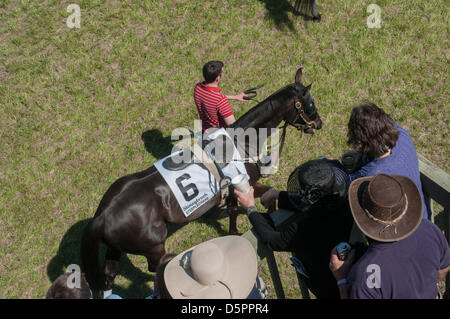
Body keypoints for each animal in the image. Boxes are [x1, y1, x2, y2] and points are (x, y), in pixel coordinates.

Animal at [80, 67, 320, 296]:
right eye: (309, 104)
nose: (319, 123)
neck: (240, 141)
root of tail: (102, 215)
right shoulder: (247, 183)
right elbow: (267, 196)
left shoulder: (230, 190)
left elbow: (233, 212)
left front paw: (233, 233)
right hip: (153, 247)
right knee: (156, 268)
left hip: (116, 248)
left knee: (109, 276)